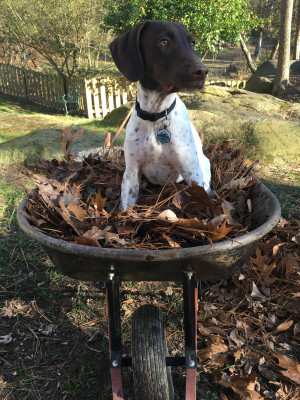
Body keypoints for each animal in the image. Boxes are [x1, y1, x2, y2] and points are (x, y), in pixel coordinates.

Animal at [110, 20, 211, 212]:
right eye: (163, 42)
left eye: (192, 43)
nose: (202, 71)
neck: (156, 116)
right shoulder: (131, 173)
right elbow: (126, 210)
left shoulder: (193, 175)